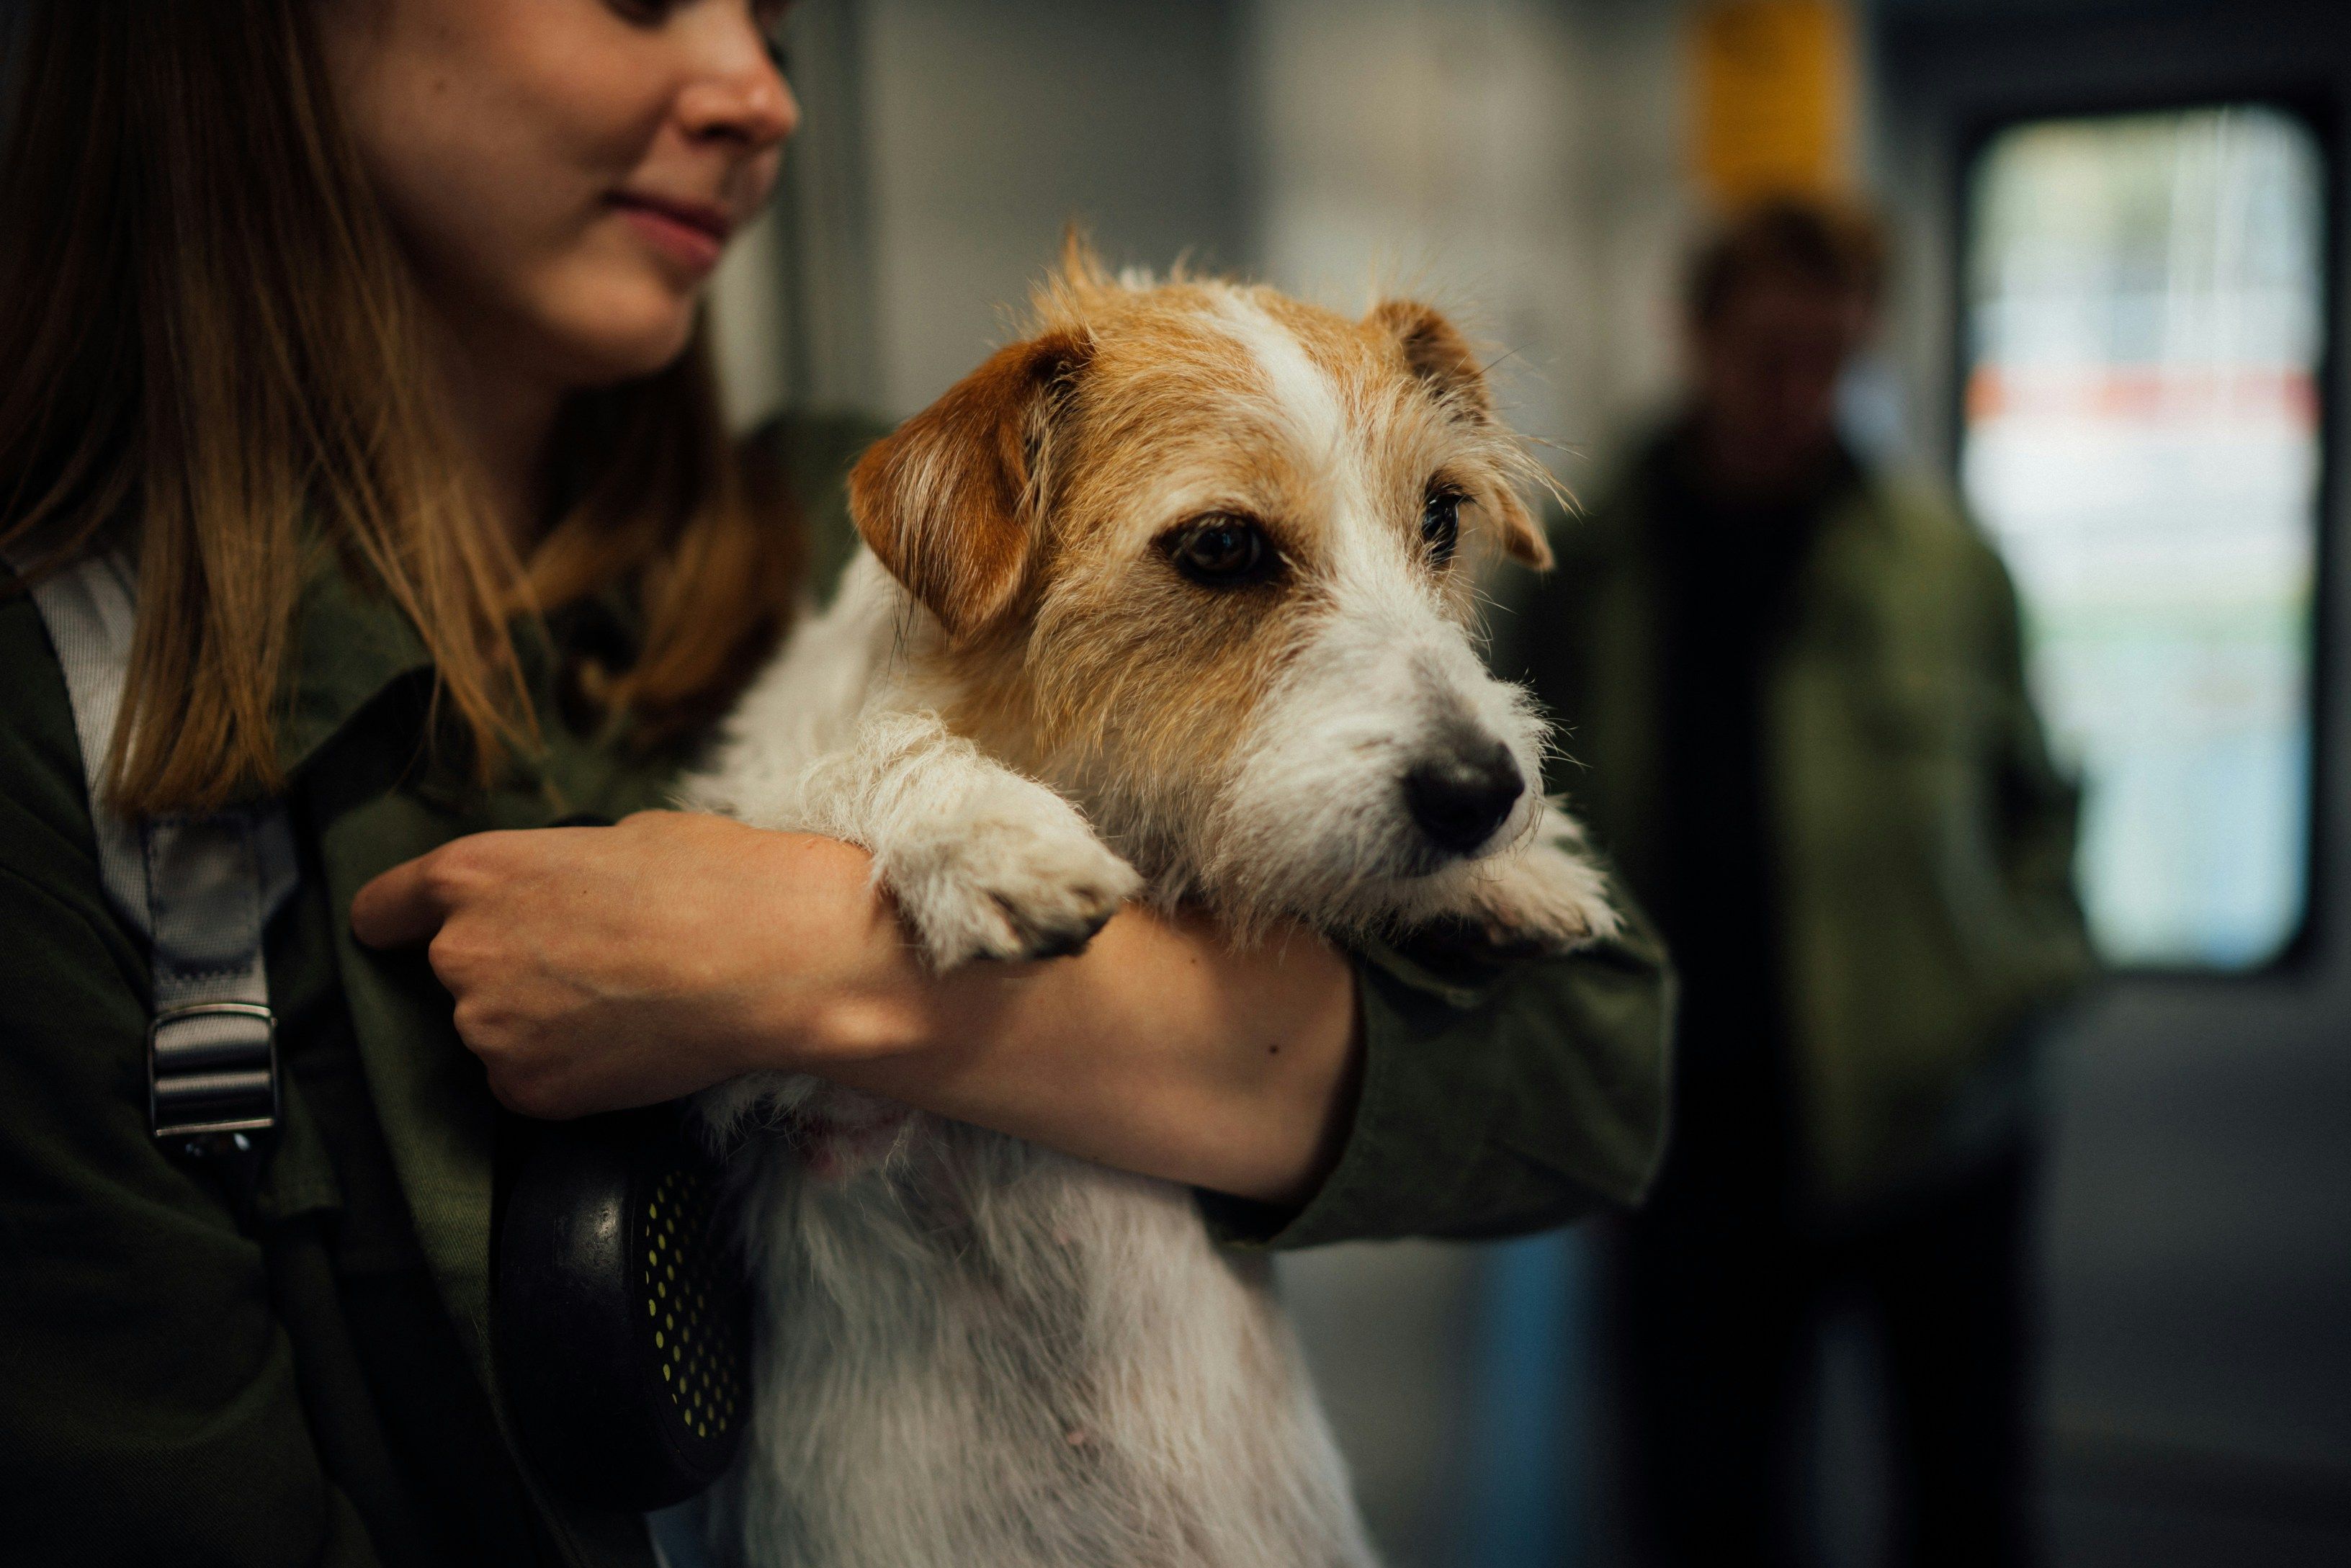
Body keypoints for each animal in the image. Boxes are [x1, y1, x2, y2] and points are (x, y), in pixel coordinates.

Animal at [681, 248, 1617, 1568]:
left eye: (1439, 518)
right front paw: (986, 828)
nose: (1482, 794)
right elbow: (843, 763)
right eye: (1221, 545)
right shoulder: (764, 1087)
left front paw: (1509, 878)